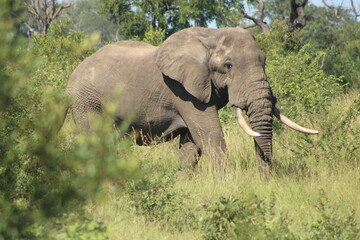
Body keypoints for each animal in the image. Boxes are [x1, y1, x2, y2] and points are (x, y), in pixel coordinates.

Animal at [59, 26, 318, 172]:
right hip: (88, 102)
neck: (211, 36)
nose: (267, 177)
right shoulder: (182, 90)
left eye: (264, 61)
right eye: (228, 65)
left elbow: (192, 143)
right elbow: (210, 136)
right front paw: (226, 184)